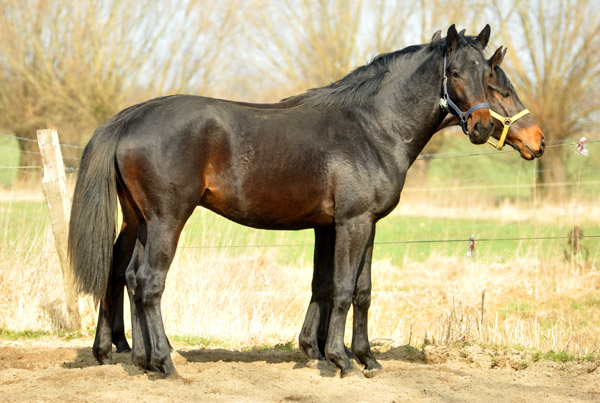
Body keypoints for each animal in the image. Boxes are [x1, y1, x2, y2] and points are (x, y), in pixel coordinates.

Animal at [68, 25, 508, 378]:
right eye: (454, 73)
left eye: (487, 74)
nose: (482, 127)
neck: (373, 127)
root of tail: (130, 117)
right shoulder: (352, 222)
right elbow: (343, 289)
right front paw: (341, 360)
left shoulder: (361, 225)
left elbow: (356, 290)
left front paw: (364, 358)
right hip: (166, 220)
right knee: (149, 282)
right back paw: (164, 362)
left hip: (142, 221)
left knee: (128, 276)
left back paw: (143, 361)